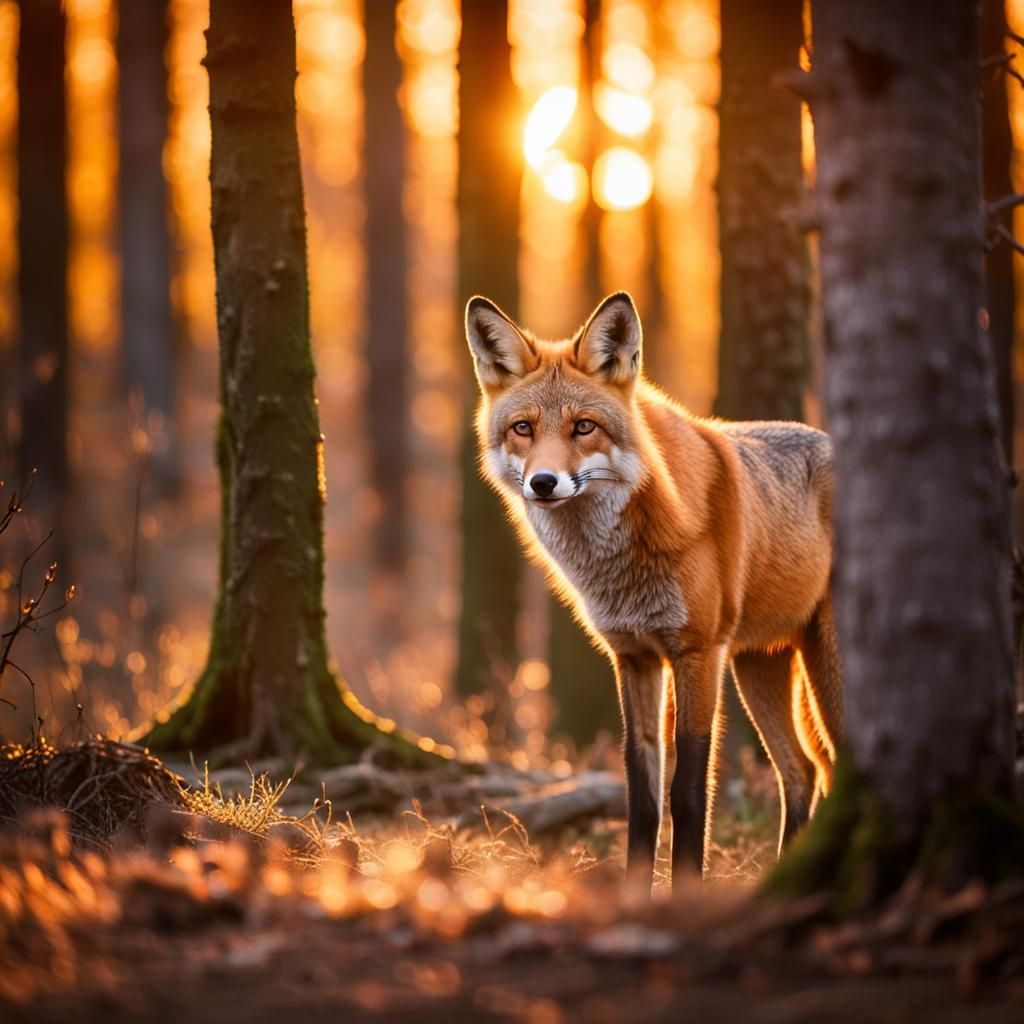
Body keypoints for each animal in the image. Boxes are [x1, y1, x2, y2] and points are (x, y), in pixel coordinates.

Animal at [465, 291, 843, 888]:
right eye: (523, 428)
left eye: (584, 427)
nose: (543, 483)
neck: (623, 572)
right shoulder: (634, 656)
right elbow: (641, 796)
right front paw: (635, 894)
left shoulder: (698, 652)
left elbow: (688, 794)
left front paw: (685, 892)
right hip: (758, 667)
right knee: (803, 771)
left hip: (821, 669)